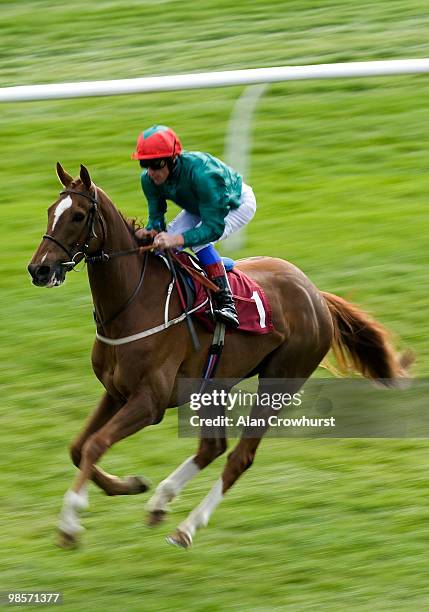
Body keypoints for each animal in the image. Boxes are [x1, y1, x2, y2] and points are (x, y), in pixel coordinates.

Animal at [27, 164, 412, 548]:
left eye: (78, 216)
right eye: (50, 211)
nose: (38, 270)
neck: (132, 303)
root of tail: (316, 294)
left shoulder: (149, 402)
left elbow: (95, 444)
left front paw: (70, 523)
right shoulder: (116, 392)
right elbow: (79, 448)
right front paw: (130, 485)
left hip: (279, 381)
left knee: (240, 456)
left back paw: (186, 528)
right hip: (214, 383)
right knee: (212, 446)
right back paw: (161, 500)